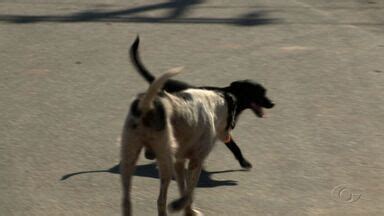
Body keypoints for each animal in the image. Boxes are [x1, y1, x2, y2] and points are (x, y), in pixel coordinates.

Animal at [130, 37, 274, 169]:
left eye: (265, 92)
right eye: (259, 93)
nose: (273, 103)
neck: (232, 96)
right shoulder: (223, 131)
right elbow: (235, 147)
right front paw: (244, 162)